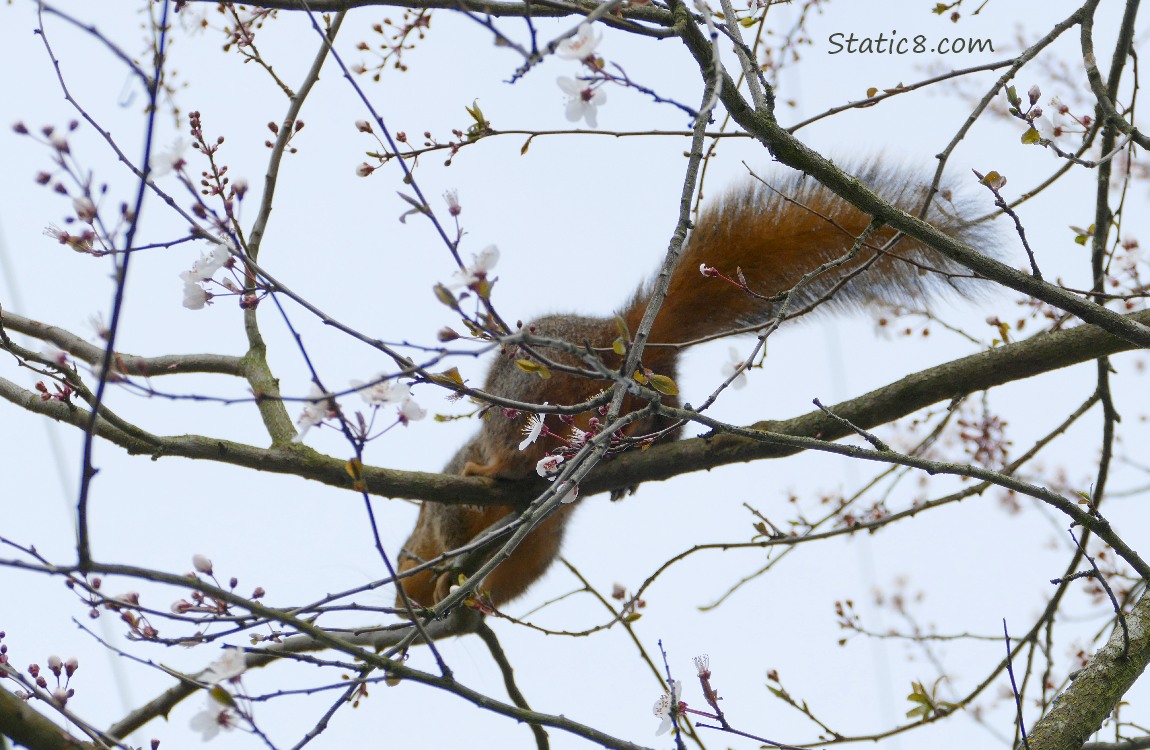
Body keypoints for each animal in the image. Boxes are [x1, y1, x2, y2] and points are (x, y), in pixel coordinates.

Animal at [397, 163, 993, 609]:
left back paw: (499, 468)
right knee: (660, 413)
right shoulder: (540, 541)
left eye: (403, 557)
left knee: (510, 443)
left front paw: (450, 577)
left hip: (528, 390)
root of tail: (619, 335)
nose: (406, 601)